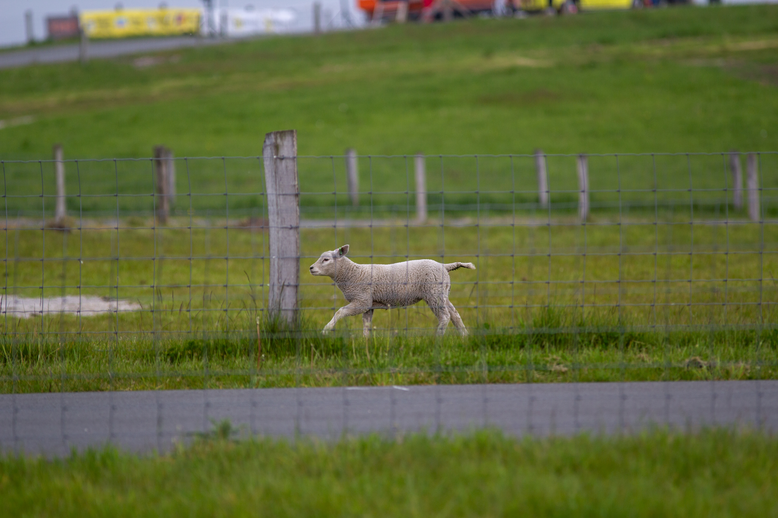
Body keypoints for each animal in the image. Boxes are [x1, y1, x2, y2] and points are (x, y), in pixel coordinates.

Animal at [308, 246, 472, 340]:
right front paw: (366, 341)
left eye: (326, 259)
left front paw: (325, 330)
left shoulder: (361, 300)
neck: (352, 274)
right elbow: (366, 323)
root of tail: (444, 266)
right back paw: (464, 335)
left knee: (445, 316)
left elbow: (340, 312)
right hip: (441, 292)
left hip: (433, 293)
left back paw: (438, 337)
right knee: (455, 314)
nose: (311, 268)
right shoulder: (369, 304)